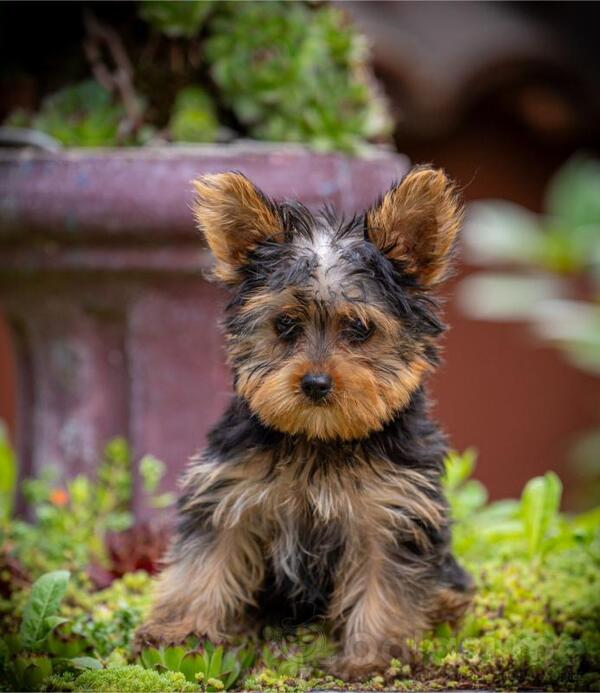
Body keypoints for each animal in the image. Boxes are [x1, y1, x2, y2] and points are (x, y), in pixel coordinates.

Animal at [138, 166, 476, 676]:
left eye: (359, 328)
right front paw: (181, 630)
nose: (315, 383)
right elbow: (207, 561)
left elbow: (385, 583)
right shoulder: (229, 492)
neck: (319, 439)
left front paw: (370, 656)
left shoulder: (392, 512)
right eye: (284, 325)